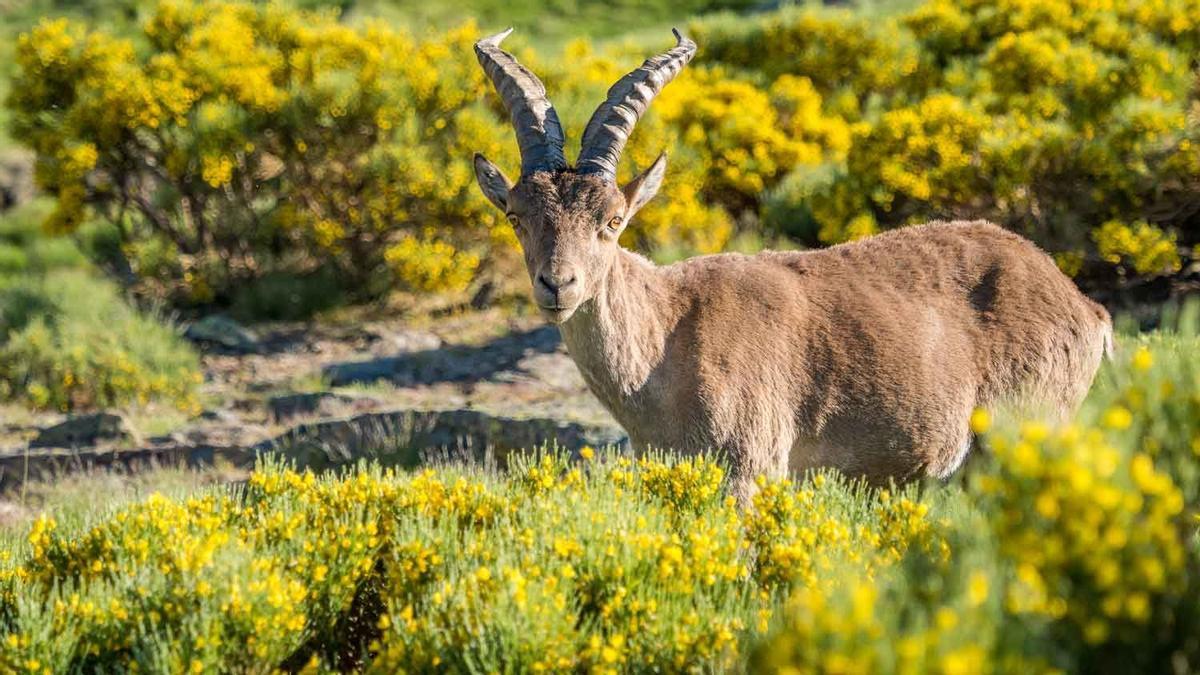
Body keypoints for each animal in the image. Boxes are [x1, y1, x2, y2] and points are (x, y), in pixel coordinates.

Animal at [470, 28, 1113, 497]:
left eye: (613, 220)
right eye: (516, 215)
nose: (558, 284)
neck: (665, 338)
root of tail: (1083, 306)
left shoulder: (749, 469)